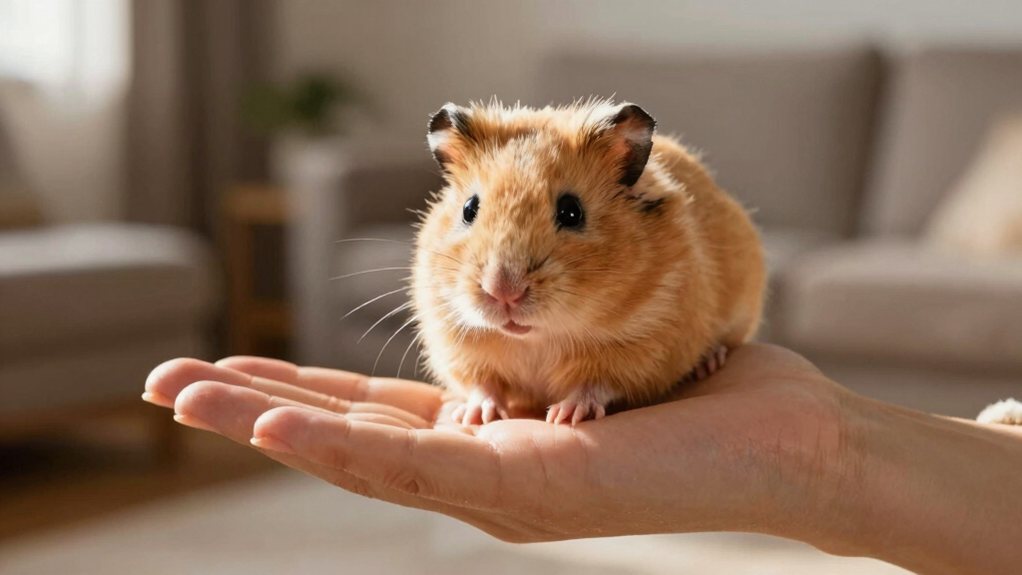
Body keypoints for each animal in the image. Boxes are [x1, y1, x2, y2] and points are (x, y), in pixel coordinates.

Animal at [411, 99, 765, 425]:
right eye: (469, 208)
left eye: (571, 211)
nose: (503, 292)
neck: (539, 337)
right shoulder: (452, 341)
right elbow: (482, 385)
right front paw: (472, 416)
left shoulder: (645, 349)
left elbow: (595, 384)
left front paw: (564, 415)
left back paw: (710, 361)